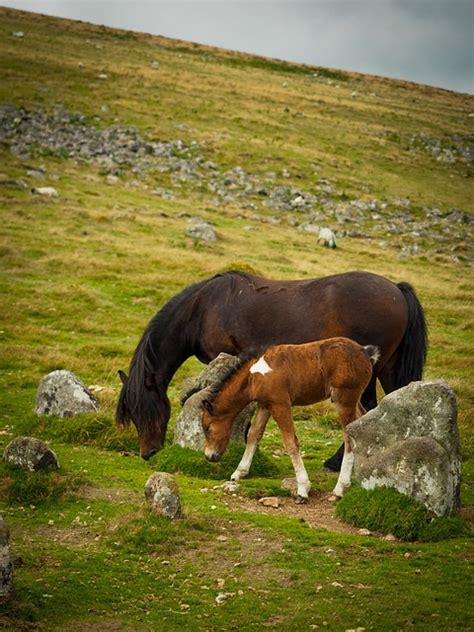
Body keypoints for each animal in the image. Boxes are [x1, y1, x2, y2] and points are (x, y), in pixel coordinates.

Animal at [116, 270, 428, 466]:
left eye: (145, 409)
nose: (148, 452)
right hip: (387, 368)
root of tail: (396, 289)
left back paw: (337, 462)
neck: (202, 309)